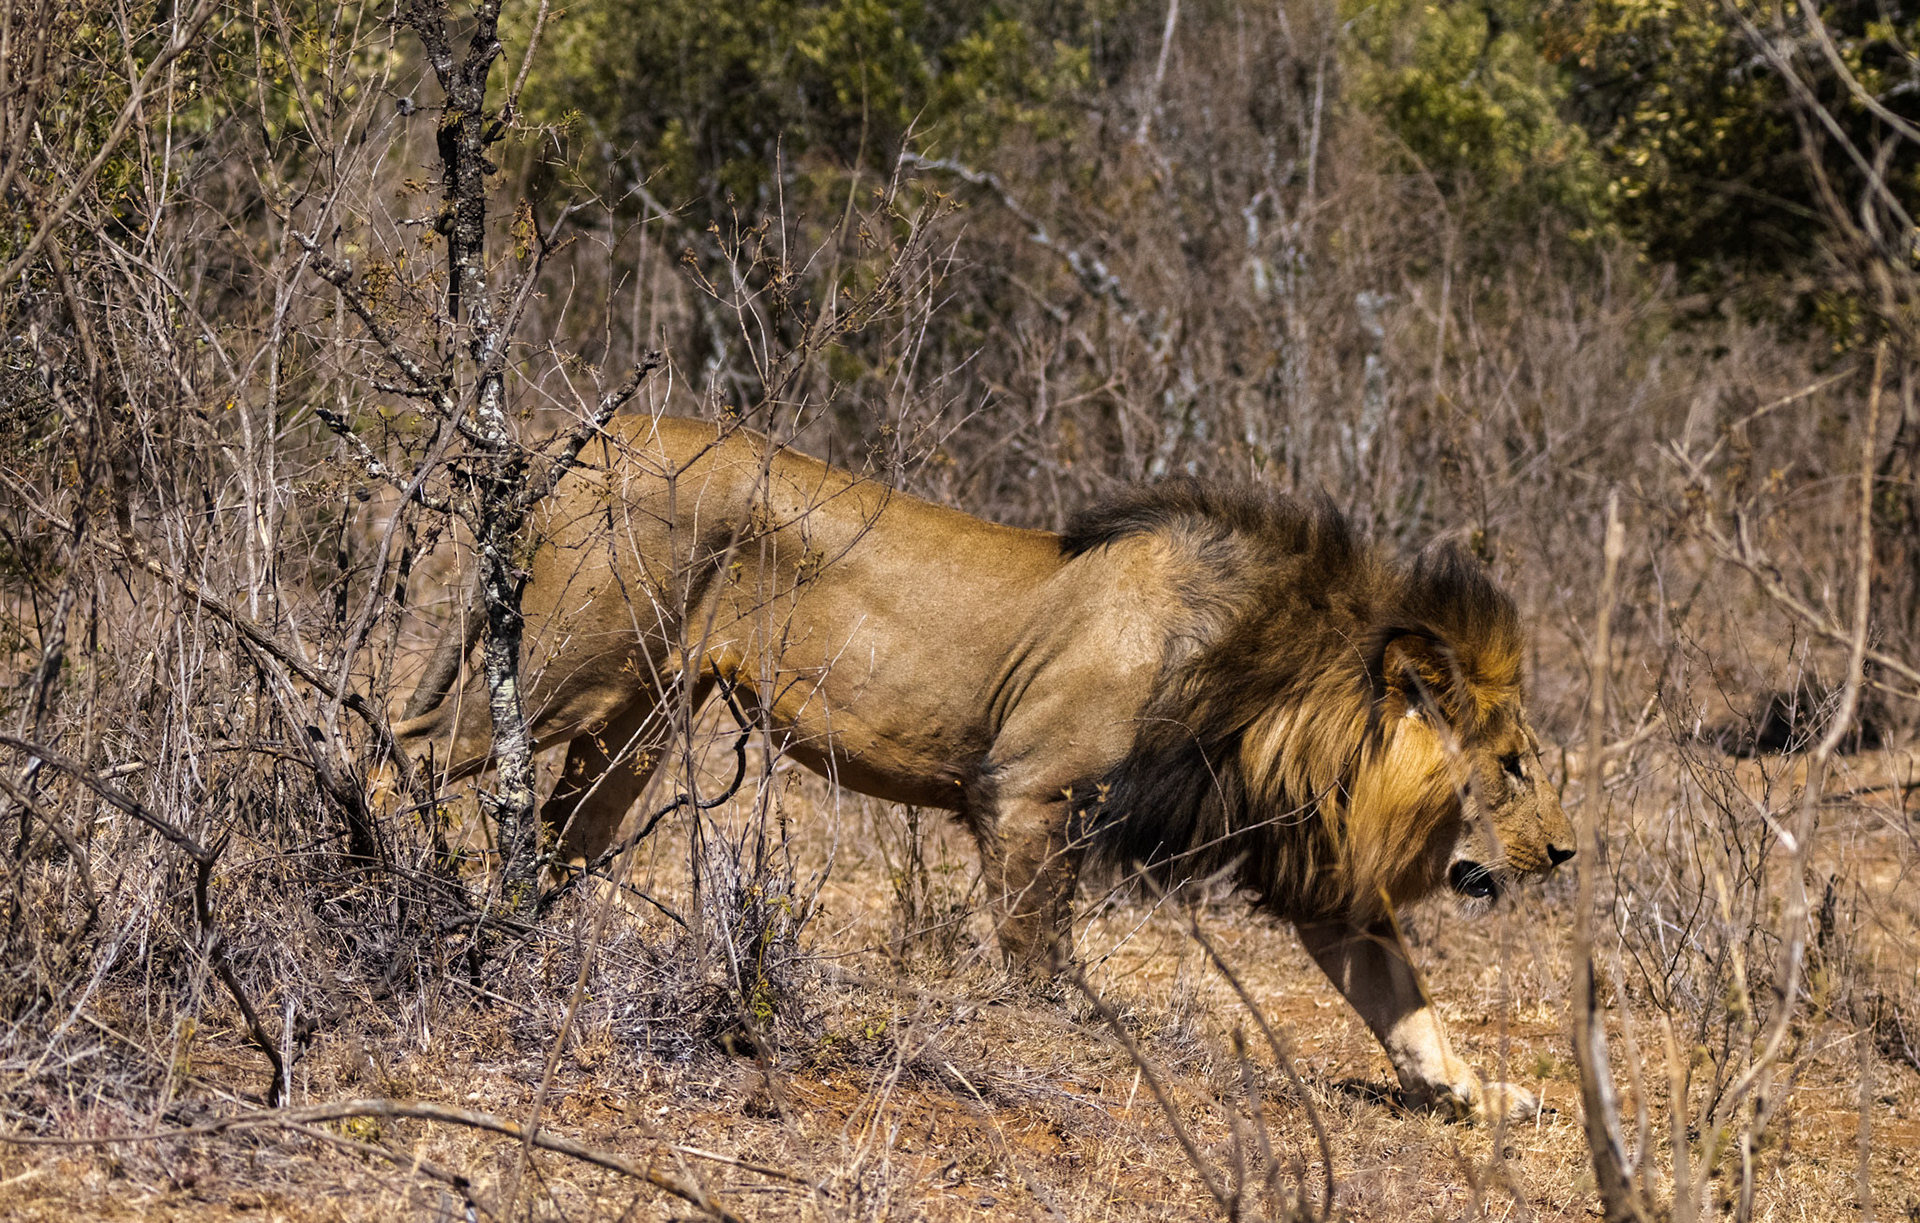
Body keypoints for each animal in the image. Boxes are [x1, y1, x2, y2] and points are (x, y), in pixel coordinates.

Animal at [398, 415, 1575, 1121]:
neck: (1278, 683)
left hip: (635, 720)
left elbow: (1405, 1006)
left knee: (561, 835)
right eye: (1514, 765)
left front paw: (1485, 1093)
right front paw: (1070, 1040)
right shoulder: (1025, 790)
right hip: (567, 669)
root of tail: (586, 440)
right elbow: (1039, 959)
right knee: (402, 747)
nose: (1566, 853)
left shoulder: (1314, 865)